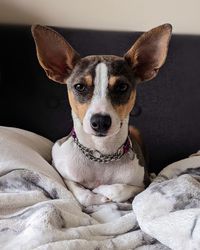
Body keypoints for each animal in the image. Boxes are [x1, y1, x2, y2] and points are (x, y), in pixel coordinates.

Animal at [31, 23, 172, 207]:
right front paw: (96, 195)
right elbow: (82, 193)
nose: (100, 122)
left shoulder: (143, 184)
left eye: (122, 87)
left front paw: (102, 190)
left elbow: (120, 189)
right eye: (79, 86)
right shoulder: (60, 167)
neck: (101, 155)